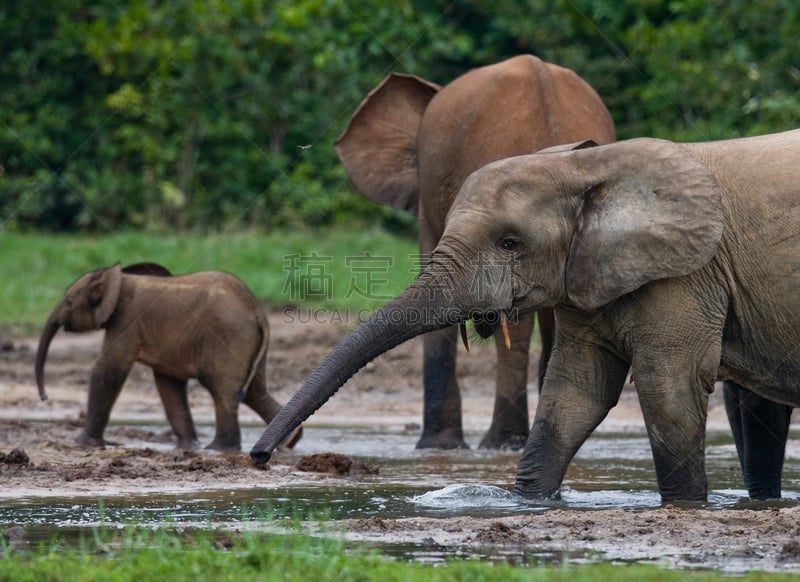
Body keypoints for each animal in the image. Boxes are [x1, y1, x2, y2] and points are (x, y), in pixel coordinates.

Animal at [32, 264, 302, 452]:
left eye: (68, 302)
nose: (44, 398)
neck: (118, 278)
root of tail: (257, 311)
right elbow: (168, 385)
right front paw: (186, 447)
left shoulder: (126, 321)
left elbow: (110, 369)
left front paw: (81, 443)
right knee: (255, 391)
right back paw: (290, 441)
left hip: (228, 335)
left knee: (223, 390)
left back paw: (219, 449)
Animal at [253, 130, 800, 504]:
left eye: (510, 243)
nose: (261, 457)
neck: (588, 167)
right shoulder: (589, 274)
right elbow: (574, 391)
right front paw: (528, 503)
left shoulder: (687, 271)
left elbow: (669, 385)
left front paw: (685, 508)